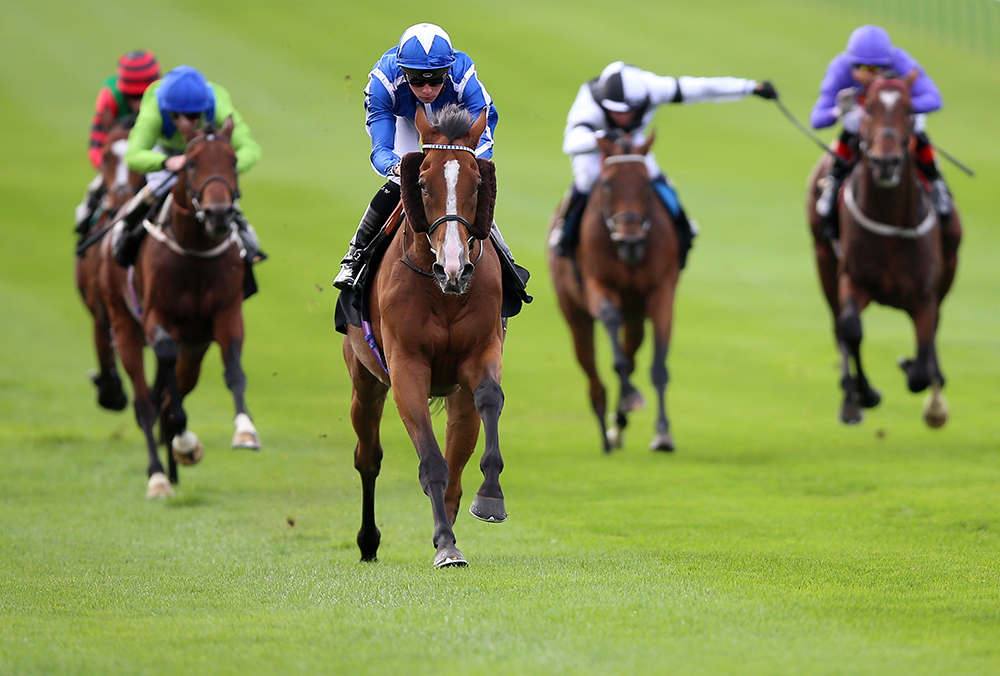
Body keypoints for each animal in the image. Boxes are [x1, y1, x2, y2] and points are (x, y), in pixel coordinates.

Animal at [97, 115, 260, 496]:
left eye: (233, 160)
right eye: (190, 164)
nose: (219, 214)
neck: (195, 252)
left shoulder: (226, 315)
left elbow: (234, 370)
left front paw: (245, 431)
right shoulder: (157, 317)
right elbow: (165, 373)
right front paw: (185, 443)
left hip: (194, 349)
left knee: (171, 396)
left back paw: (174, 466)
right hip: (124, 324)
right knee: (145, 403)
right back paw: (158, 477)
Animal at [344, 105, 508, 568]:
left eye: (476, 183)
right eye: (421, 183)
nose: (453, 267)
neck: (443, 293)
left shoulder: (481, 351)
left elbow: (489, 399)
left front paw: (490, 498)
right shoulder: (406, 367)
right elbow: (431, 461)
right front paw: (446, 545)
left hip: (455, 393)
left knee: (459, 453)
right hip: (364, 379)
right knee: (368, 458)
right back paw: (369, 542)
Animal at [548, 134, 680, 452]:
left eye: (646, 183)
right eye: (607, 184)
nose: (629, 241)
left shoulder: (661, 292)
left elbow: (658, 365)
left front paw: (662, 432)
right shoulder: (597, 284)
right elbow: (610, 325)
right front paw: (631, 397)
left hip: (635, 316)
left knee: (630, 354)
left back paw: (618, 422)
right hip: (574, 311)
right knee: (589, 363)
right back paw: (605, 425)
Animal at [804, 71, 960, 426]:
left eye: (909, 110)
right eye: (868, 111)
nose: (885, 161)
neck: (890, 222)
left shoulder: (925, 295)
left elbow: (921, 366)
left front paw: (928, 391)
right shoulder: (853, 278)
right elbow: (851, 328)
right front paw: (864, 393)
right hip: (823, 259)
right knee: (838, 324)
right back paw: (850, 398)